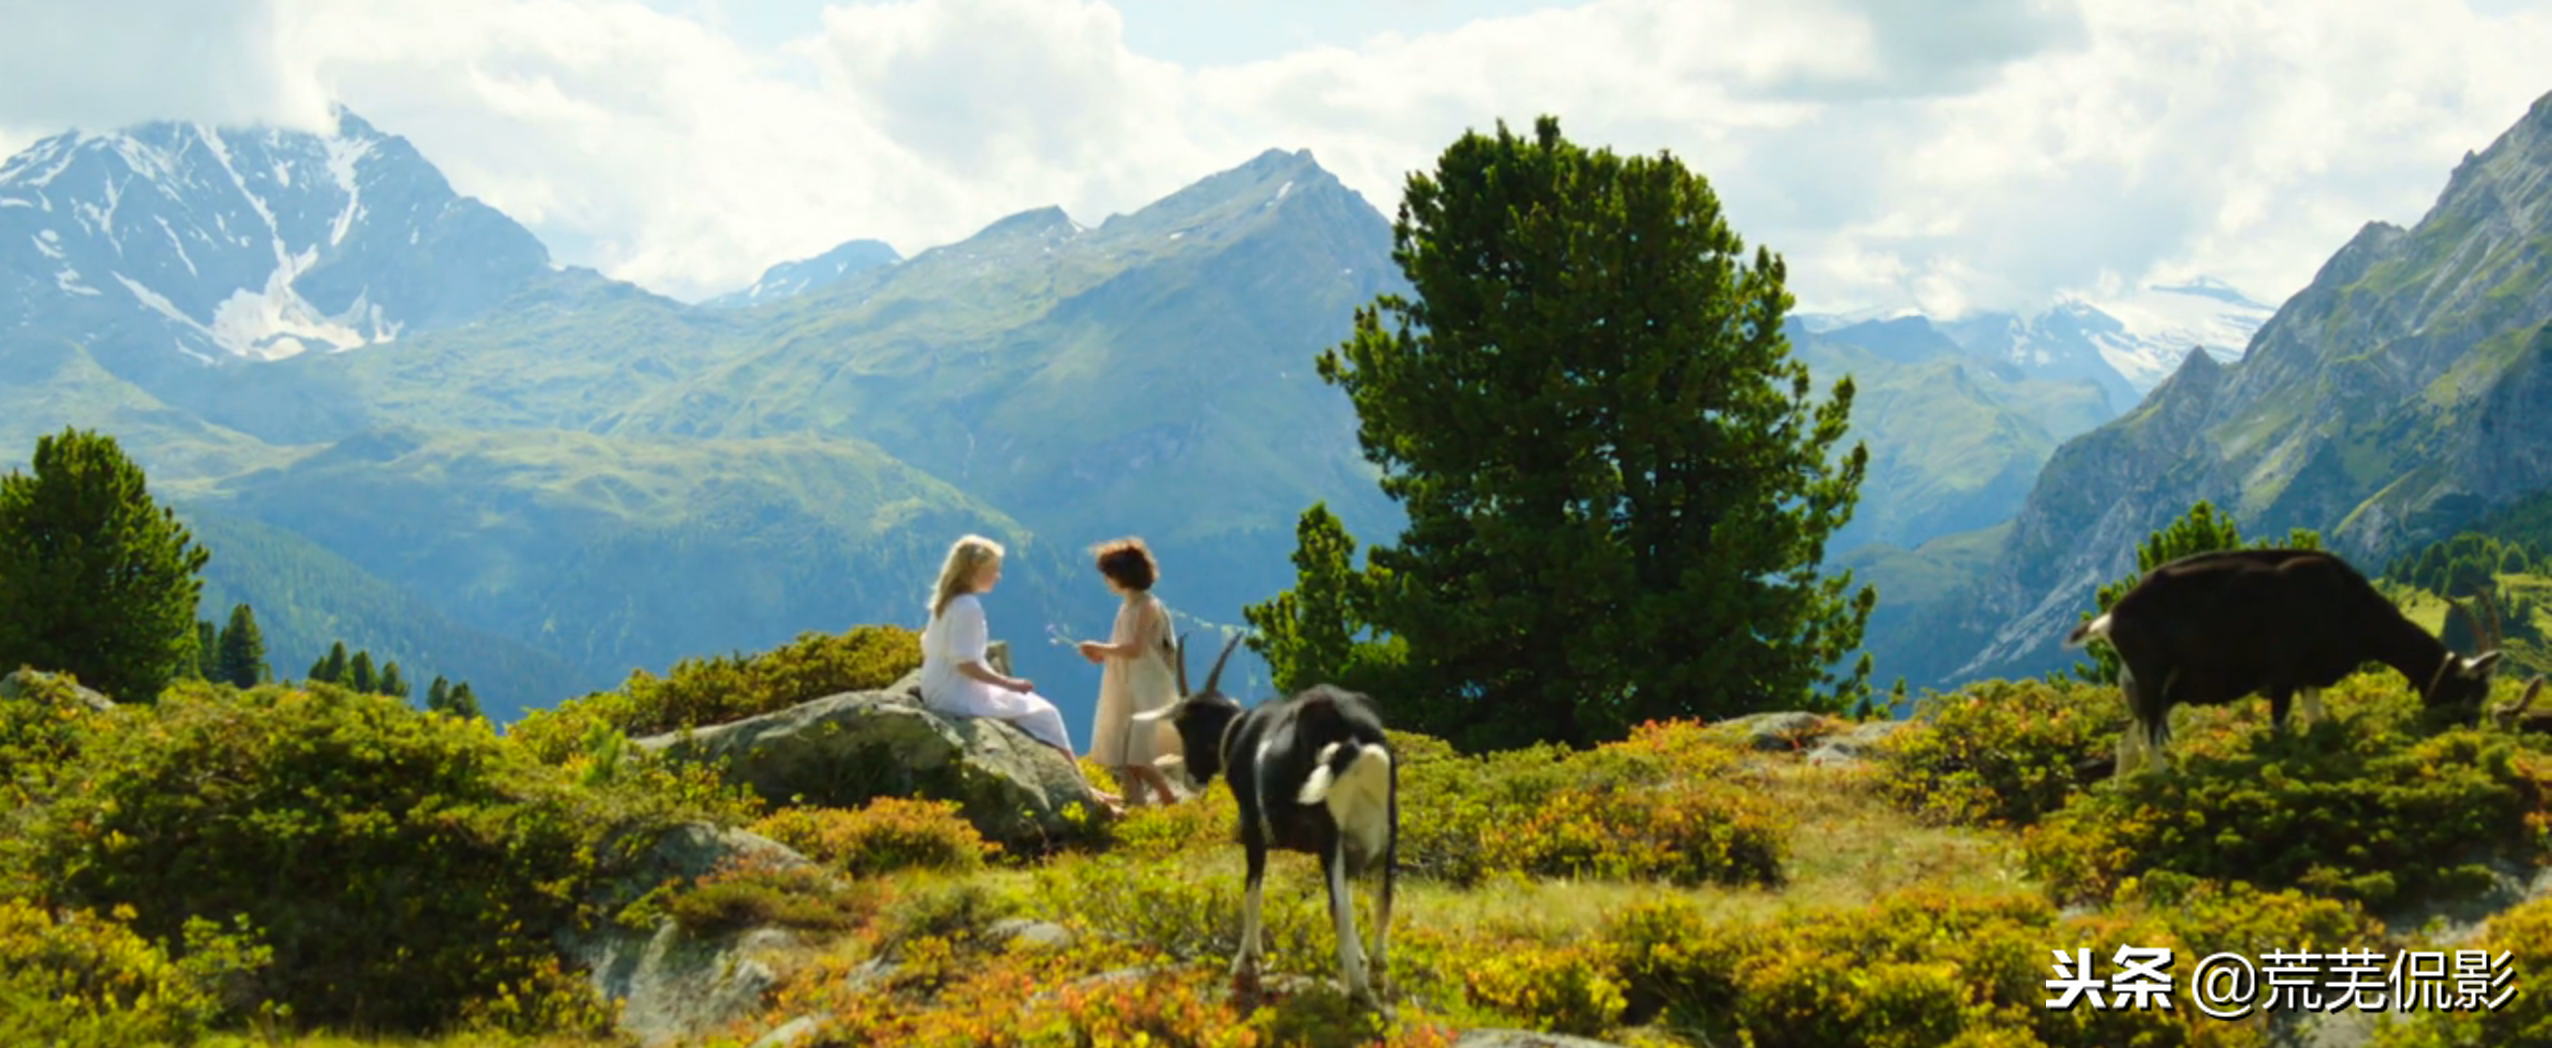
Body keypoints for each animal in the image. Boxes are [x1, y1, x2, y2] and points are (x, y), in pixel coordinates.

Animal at [1138, 634, 1408, 1014]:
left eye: (1183, 726)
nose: (1192, 777)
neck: (1237, 733)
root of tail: (1352, 734)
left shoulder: (1252, 826)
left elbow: (1253, 887)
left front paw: (1245, 959)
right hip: (1387, 828)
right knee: (1383, 899)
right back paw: (1378, 978)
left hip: (1329, 832)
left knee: (1338, 907)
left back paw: (1357, 990)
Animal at [2062, 550, 2500, 780]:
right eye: (2468, 690)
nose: (2471, 733)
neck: (2346, 601)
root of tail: (2113, 617)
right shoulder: (2284, 674)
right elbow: (2279, 728)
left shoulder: (2309, 677)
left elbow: (2317, 721)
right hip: (2152, 677)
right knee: (2151, 737)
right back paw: (2166, 781)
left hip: (2148, 687)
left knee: (2128, 741)